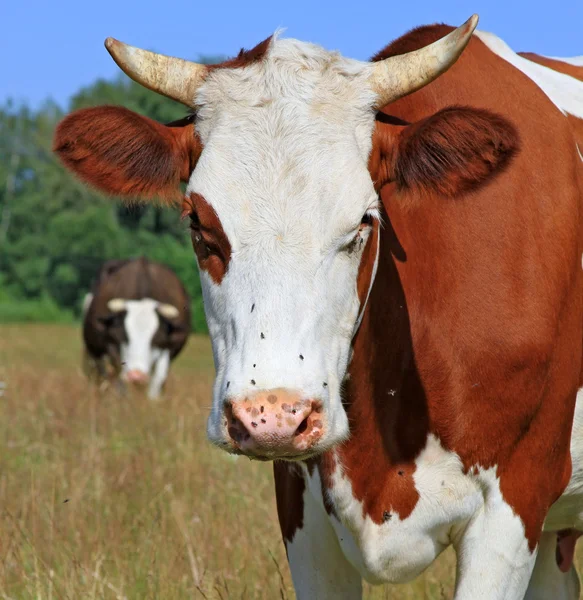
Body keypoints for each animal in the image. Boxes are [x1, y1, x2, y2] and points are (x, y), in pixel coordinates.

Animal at [81, 256, 190, 398]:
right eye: (124, 336)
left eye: (157, 338)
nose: (136, 376)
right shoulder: (111, 345)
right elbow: (120, 381)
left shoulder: (168, 348)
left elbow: (157, 381)